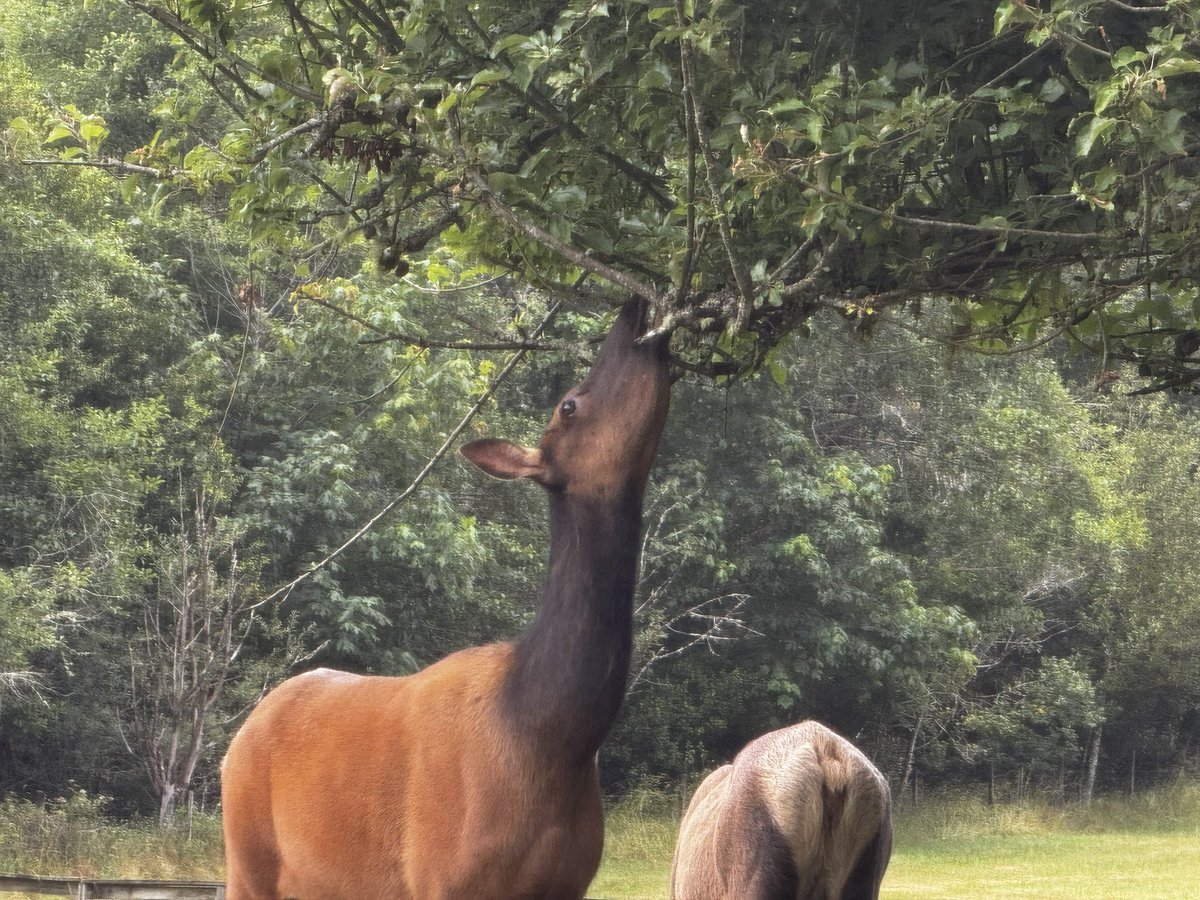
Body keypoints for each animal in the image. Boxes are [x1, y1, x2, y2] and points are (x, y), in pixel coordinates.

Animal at [220, 296, 672, 899]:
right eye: (569, 404)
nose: (633, 308)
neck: (552, 737)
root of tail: (233, 747)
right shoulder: (444, 877)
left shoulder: (568, 882)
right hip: (245, 860)